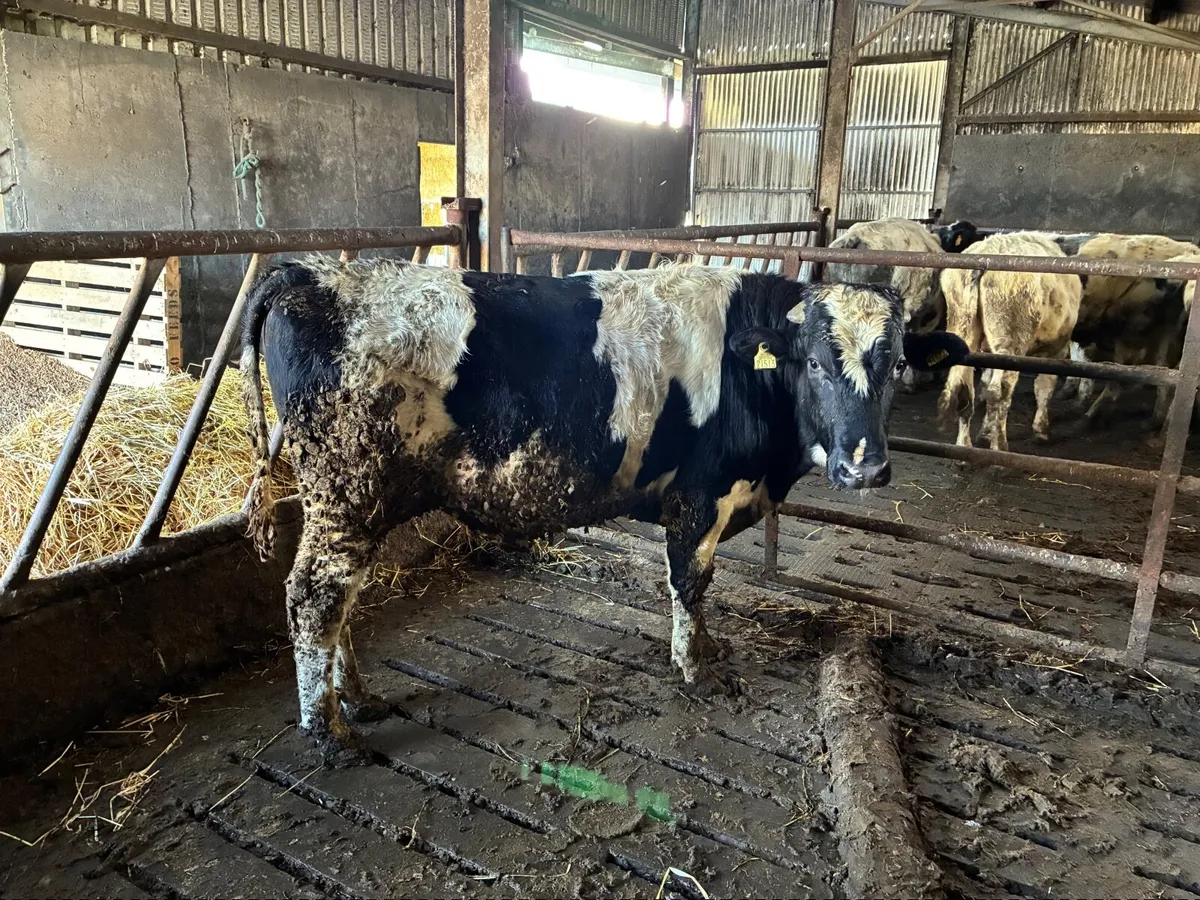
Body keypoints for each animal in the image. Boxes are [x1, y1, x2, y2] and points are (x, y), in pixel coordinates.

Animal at [240, 257, 967, 755]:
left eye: (897, 362)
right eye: (815, 363)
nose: (865, 466)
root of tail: (310, 271)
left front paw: (708, 650)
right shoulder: (699, 497)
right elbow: (690, 582)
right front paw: (696, 668)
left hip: (355, 505)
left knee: (341, 601)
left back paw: (357, 702)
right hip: (345, 493)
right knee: (314, 598)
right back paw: (330, 733)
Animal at [938, 232, 1082, 450]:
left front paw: (985, 432)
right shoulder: (1056, 349)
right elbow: (1044, 386)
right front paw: (1041, 430)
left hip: (963, 326)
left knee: (965, 389)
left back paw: (964, 445)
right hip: (1011, 340)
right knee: (999, 391)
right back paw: (1000, 446)